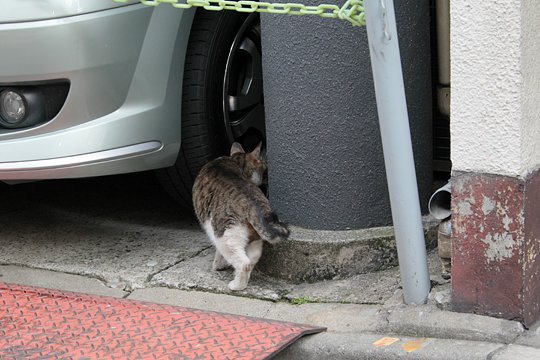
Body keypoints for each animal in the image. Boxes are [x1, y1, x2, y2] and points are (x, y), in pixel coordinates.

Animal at [192, 142, 288, 292]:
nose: (266, 177)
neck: (236, 160)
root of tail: (252, 201)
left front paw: (218, 265)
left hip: (225, 235)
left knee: (244, 263)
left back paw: (237, 285)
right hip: (254, 237)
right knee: (253, 258)